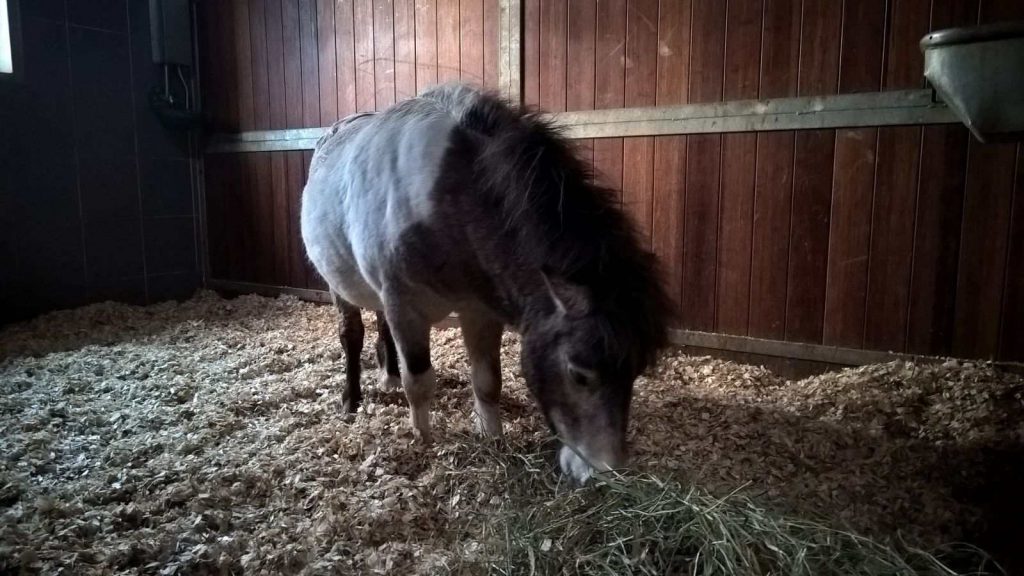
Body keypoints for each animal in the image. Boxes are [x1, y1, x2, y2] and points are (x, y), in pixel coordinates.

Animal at [300, 84, 672, 482]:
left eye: (636, 372)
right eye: (578, 373)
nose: (602, 472)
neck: (447, 197)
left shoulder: (479, 311)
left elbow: (487, 380)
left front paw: (492, 438)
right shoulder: (406, 308)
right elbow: (420, 381)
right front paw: (423, 440)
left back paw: (389, 378)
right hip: (340, 288)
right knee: (352, 336)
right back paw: (351, 400)